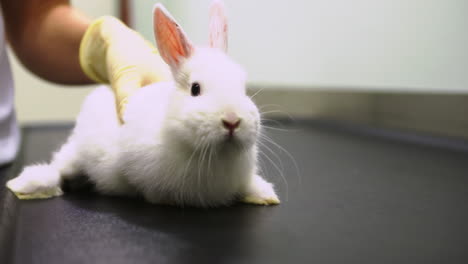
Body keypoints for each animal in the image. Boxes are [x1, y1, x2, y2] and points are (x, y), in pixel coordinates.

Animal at [6, 1, 278, 208]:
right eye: (195, 89)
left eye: (243, 88)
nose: (232, 121)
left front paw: (265, 195)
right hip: (76, 152)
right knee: (59, 168)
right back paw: (26, 185)